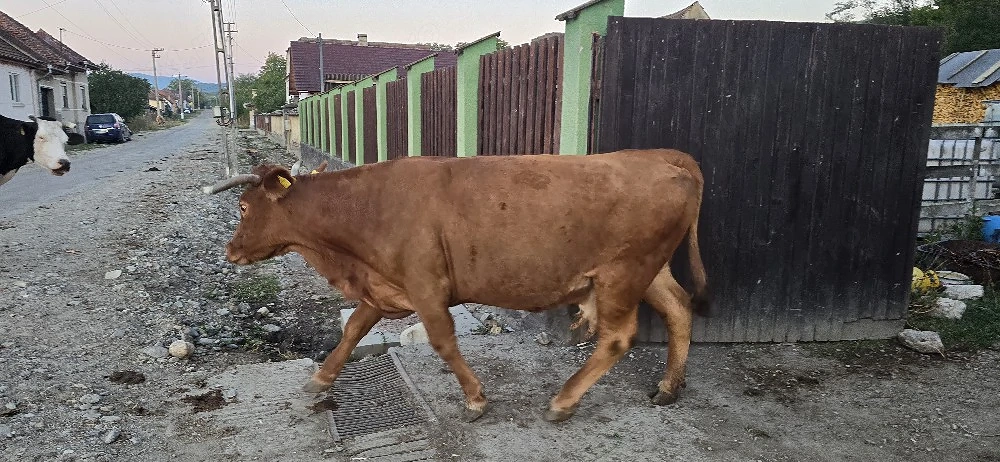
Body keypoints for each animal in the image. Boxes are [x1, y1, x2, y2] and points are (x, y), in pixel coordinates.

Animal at [205, 148, 710, 423]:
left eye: (244, 207)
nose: (230, 250)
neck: (367, 207)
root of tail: (660, 157)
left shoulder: (426, 285)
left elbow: (443, 342)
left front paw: (475, 399)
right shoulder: (386, 286)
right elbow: (352, 331)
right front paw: (319, 378)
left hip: (621, 274)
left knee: (618, 338)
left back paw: (564, 401)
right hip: (650, 271)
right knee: (679, 309)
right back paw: (669, 386)